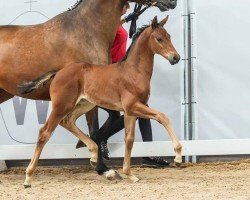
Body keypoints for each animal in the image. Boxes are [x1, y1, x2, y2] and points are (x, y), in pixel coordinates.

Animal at [19, 16, 181, 187]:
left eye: (169, 36)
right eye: (159, 38)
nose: (175, 57)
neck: (133, 72)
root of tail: (58, 73)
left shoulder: (129, 111)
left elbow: (129, 139)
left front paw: (130, 174)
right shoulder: (133, 106)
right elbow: (162, 117)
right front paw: (178, 156)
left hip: (84, 104)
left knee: (67, 122)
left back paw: (94, 155)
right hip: (61, 106)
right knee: (45, 132)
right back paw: (28, 178)